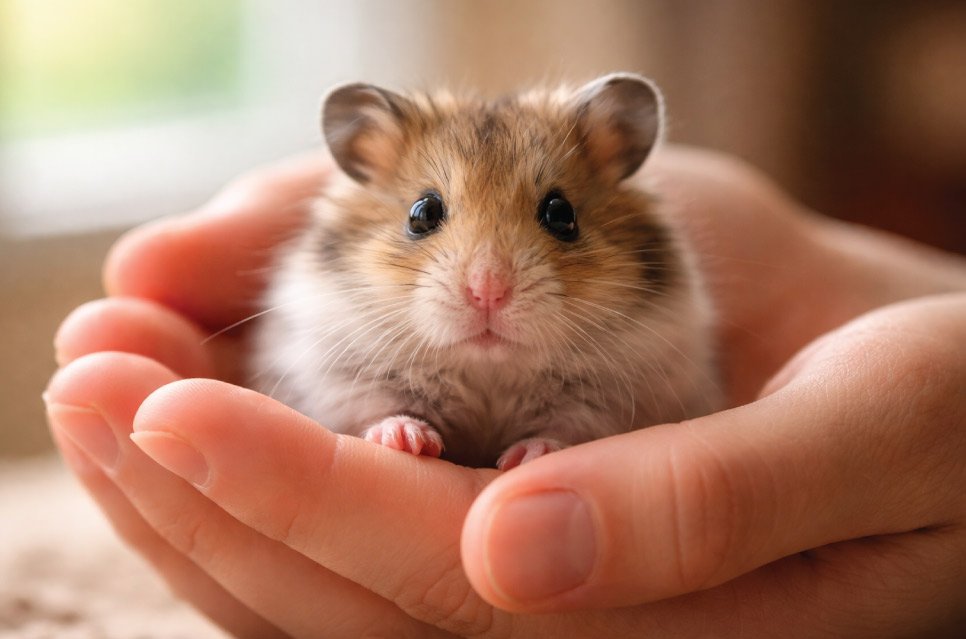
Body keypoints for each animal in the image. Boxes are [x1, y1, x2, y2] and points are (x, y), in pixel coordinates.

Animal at [249, 73, 721, 469]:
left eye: (561, 214)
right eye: (422, 212)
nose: (488, 292)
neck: (487, 371)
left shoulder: (617, 394)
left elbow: (569, 427)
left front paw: (527, 455)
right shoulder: (337, 374)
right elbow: (380, 408)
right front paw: (408, 440)